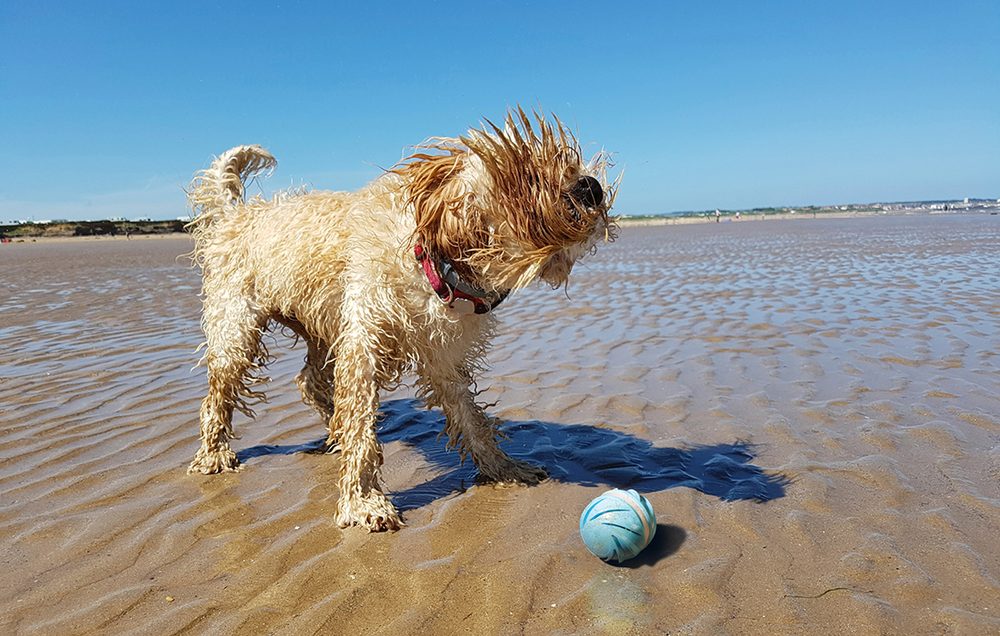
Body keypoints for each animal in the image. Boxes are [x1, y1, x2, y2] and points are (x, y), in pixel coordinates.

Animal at [184, 110, 612, 532]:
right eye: (528, 174)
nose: (591, 187)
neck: (434, 266)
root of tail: (237, 214)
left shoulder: (442, 357)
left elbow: (470, 418)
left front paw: (502, 467)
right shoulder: (363, 345)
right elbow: (361, 425)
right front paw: (364, 501)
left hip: (322, 324)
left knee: (308, 379)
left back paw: (331, 427)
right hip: (237, 331)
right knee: (219, 394)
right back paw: (214, 454)